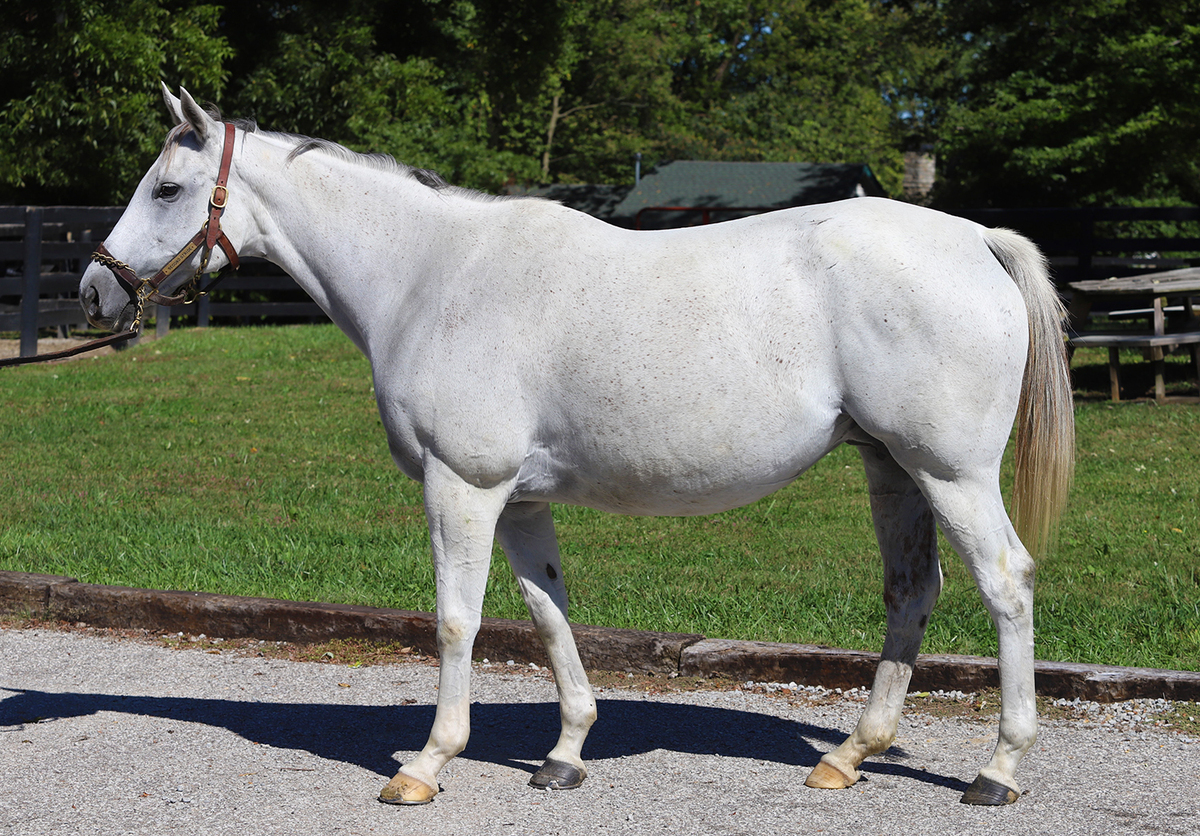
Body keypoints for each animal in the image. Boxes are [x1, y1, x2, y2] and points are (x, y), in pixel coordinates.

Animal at [80, 86, 1074, 807]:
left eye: (167, 188)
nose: (96, 289)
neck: (431, 275)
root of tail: (975, 239)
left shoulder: (462, 486)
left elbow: (457, 621)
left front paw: (425, 766)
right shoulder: (518, 500)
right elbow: (548, 613)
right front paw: (563, 755)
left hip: (951, 473)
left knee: (1006, 582)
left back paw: (996, 771)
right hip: (890, 466)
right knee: (912, 592)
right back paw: (848, 757)